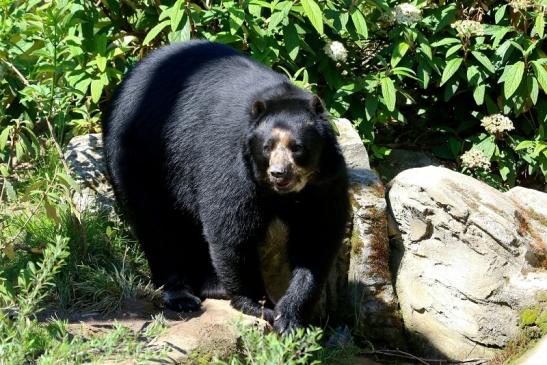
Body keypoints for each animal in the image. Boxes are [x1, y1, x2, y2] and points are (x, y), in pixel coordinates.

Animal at [101, 39, 352, 332]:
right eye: (267, 147)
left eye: (297, 147)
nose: (279, 173)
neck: (280, 193)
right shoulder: (231, 165)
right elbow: (231, 231)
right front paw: (258, 304)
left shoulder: (324, 183)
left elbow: (317, 236)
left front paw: (290, 316)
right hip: (141, 155)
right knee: (157, 224)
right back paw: (181, 294)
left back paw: (212, 285)